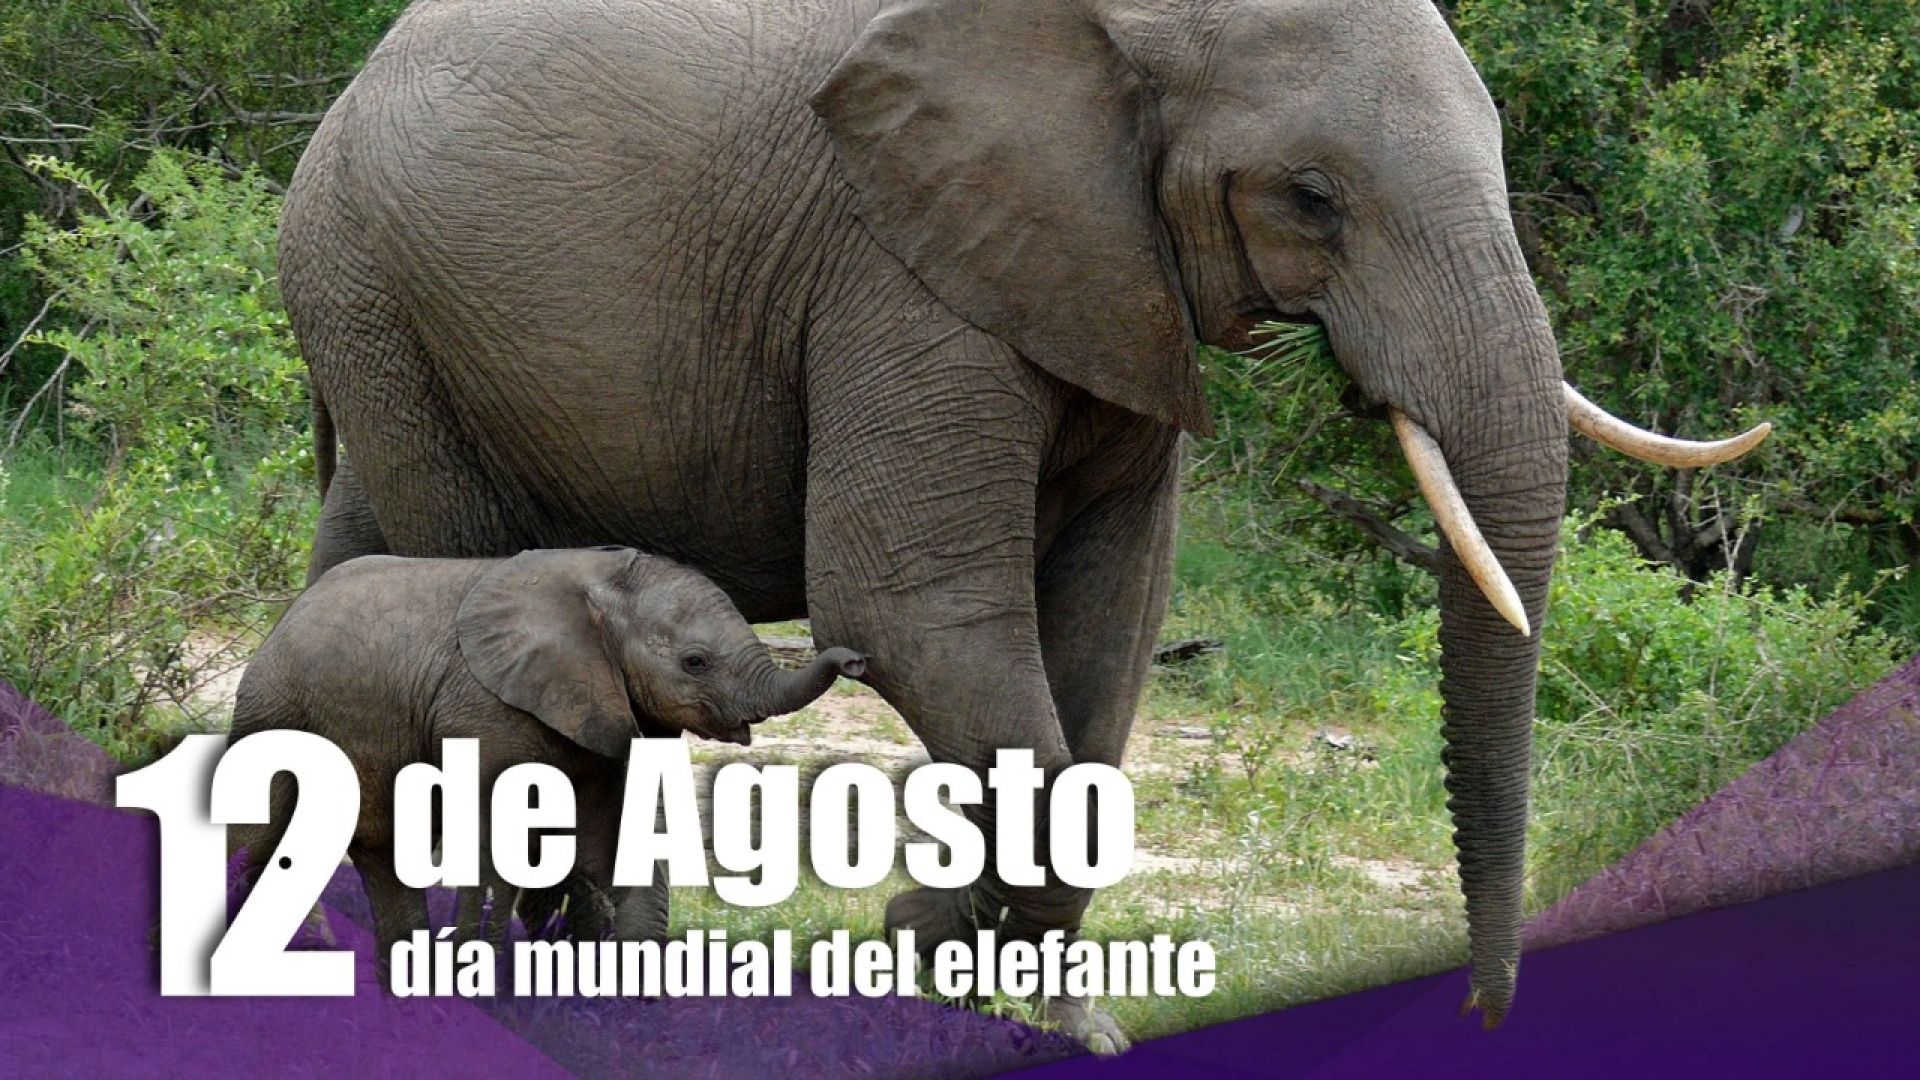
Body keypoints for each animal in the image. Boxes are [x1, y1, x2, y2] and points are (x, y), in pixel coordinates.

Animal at [227, 547, 866, 961]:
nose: (856, 659)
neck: (599, 592)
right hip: (274, 712)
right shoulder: (483, 710)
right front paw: (483, 982)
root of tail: (285, 617)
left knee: (382, 859)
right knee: (258, 839)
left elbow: (618, 838)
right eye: (695, 662)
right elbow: (496, 846)